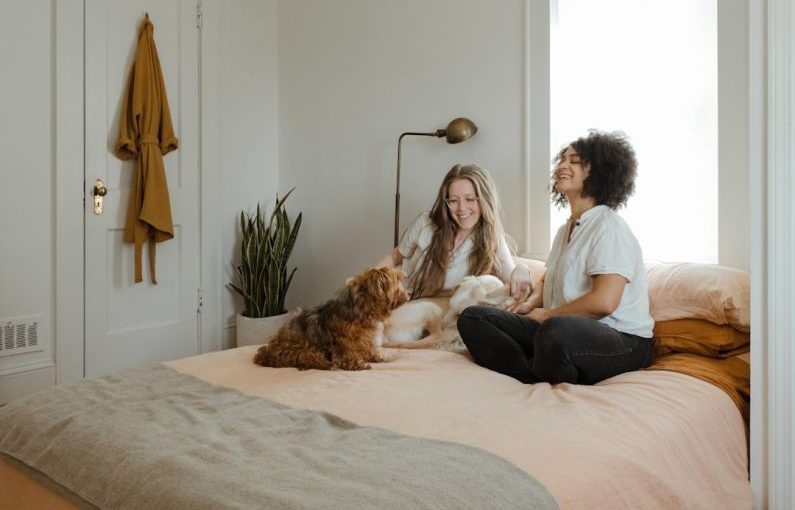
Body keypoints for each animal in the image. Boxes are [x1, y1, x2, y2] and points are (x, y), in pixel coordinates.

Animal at [253, 266, 408, 370]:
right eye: (397, 284)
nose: (408, 293)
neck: (363, 311)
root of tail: (266, 353)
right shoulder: (344, 341)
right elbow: (348, 353)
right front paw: (358, 364)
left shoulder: (366, 339)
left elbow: (369, 348)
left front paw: (376, 357)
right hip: (299, 348)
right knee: (306, 357)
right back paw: (326, 363)